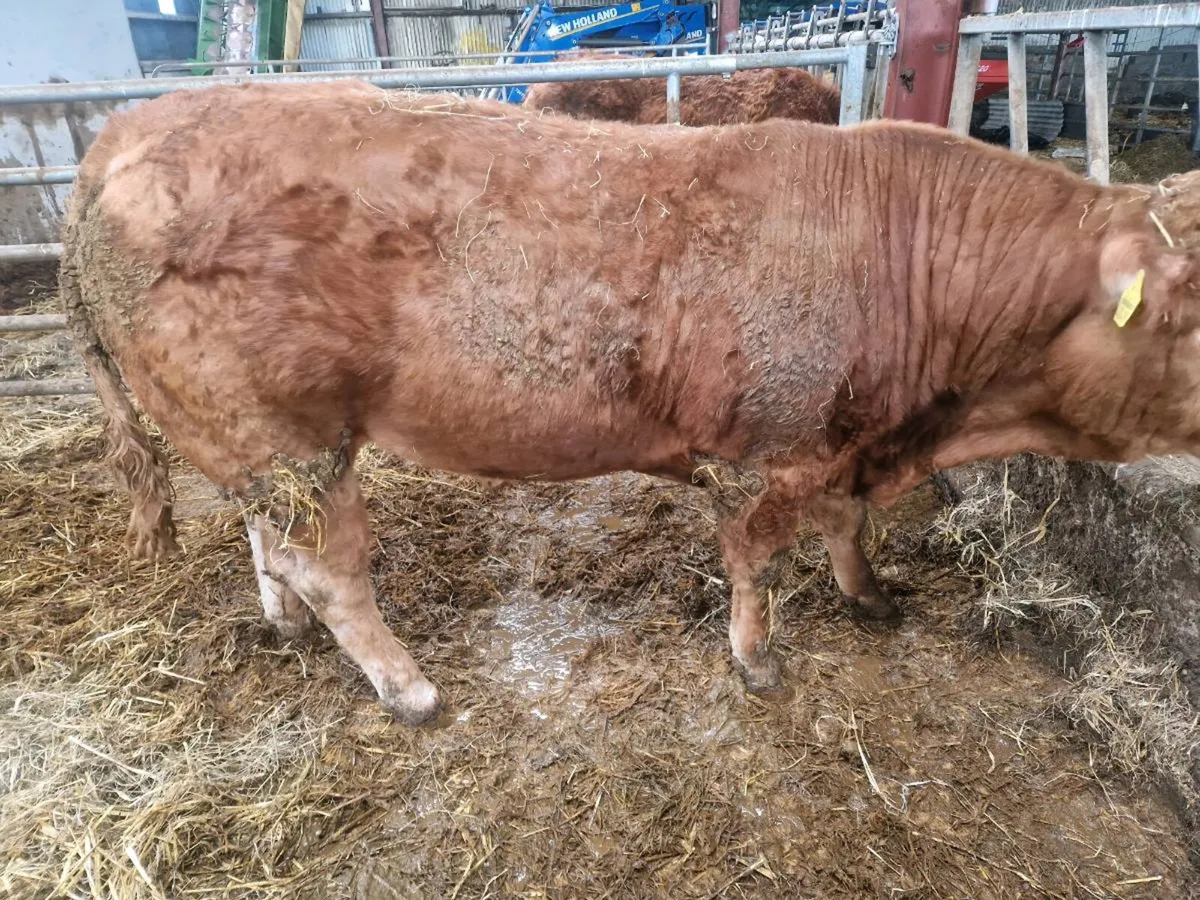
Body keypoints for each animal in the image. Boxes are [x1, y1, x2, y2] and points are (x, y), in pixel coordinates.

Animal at [62, 81, 1200, 725]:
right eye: (1190, 311)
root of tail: (121, 133)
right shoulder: (769, 448)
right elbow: (755, 557)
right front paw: (758, 663)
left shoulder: (841, 439)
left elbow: (847, 526)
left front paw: (872, 596)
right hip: (286, 431)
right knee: (327, 563)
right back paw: (409, 688)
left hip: (258, 439)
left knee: (262, 533)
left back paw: (284, 625)